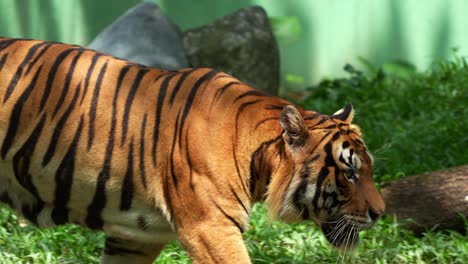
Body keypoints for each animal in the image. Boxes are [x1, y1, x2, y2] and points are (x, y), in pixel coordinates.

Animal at [0, 37, 384, 264]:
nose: (381, 214)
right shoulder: (210, 228)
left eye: (368, 169)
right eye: (350, 173)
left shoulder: (134, 236)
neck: (258, 161)